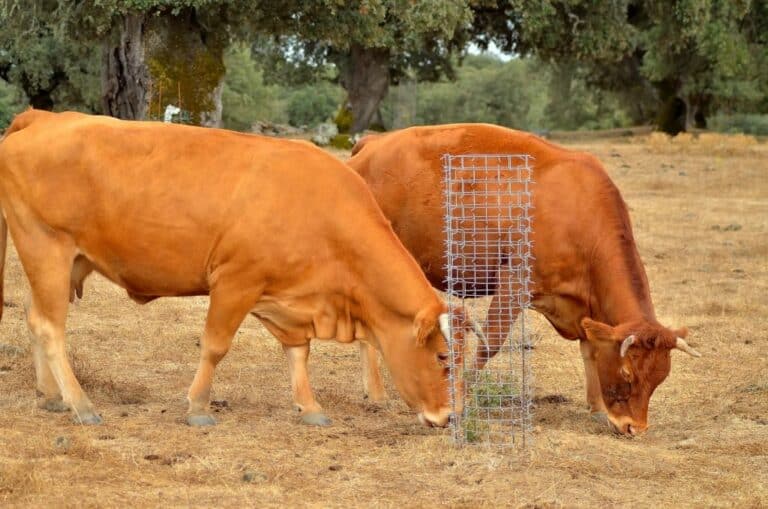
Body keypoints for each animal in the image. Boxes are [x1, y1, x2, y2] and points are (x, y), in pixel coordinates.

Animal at [0, 109, 462, 426]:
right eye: (443, 356)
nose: (450, 416)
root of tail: (44, 118)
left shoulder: (288, 299)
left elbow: (299, 352)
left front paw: (310, 406)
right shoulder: (235, 282)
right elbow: (216, 346)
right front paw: (199, 406)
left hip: (60, 262)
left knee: (33, 317)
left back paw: (50, 395)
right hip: (47, 248)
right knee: (49, 327)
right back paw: (81, 403)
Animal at [348, 122, 704, 432]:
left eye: (660, 377)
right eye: (628, 373)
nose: (635, 428)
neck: (580, 211)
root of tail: (373, 143)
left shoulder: (583, 305)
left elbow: (590, 348)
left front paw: (597, 408)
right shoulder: (514, 283)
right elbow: (489, 344)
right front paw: (462, 396)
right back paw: (376, 392)